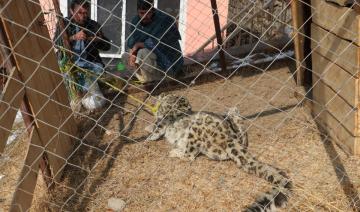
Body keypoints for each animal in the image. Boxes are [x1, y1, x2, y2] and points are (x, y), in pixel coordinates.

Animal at [146, 93, 292, 211]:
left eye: (186, 106)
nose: (189, 110)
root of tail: (230, 138)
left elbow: (161, 123)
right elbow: (157, 126)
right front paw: (149, 130)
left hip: (195, 131)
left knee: (189, 155)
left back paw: (175, 151)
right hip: (235, 123)